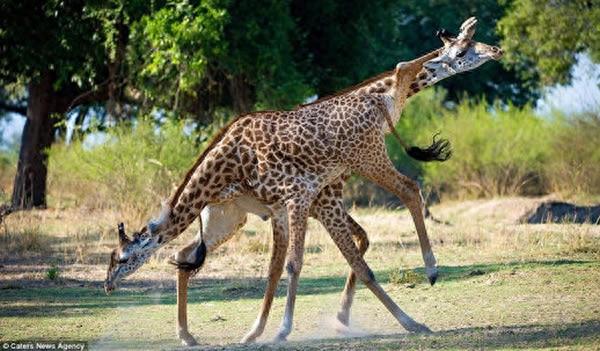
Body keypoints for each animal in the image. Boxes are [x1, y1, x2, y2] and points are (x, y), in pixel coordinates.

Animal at [104, 17, 502, 346]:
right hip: (245, 213)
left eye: (121, 257)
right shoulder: (292, 206)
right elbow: (284, 267)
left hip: (365, 160)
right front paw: (262, 332)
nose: (107, 284)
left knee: (408, 189)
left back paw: (429, 272)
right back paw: (188, 335)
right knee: (184, 255)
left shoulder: (299, 199)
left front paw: (278, 330)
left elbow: (297, 265)